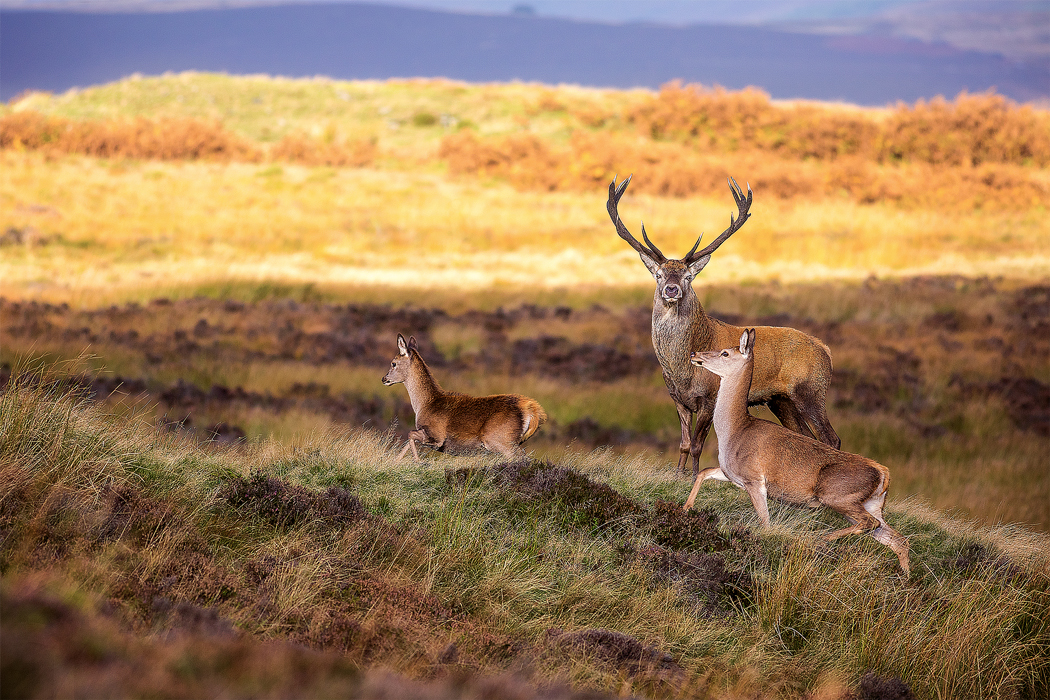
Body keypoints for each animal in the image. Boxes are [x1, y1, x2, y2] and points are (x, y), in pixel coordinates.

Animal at [380, 335, 546, 461]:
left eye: (393, 363)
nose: (384, 379)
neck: (424, 404)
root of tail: (532, 409)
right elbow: (409, 438)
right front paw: (395, 462)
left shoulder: (436, 435)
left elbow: (410, 434)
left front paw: (419, 462)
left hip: (501, 439)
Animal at [609, 175, 835, 482]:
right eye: (658, 274)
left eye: (688, 276)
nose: (671, 289)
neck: (682, 369)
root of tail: (826, 350)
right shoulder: (677, 399)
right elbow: (683, 444)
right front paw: (677, 474)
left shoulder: (709, 396)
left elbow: (696, 445)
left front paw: (694, 477)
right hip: (781, 400)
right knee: (803, 436)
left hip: (812, 390)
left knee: (830, 437)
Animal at [684, 331, 907, 579]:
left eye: (725, 353)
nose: (694, 353)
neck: (734, 431)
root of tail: (884, 474)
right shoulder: (732, 473)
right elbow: (704, 472)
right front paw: (686, 508)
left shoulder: (754, 478)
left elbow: (765, 523)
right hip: (872, 504)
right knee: (897, 538)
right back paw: (905, 578)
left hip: (836, 494)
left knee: (870, 524)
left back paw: (823, 538)